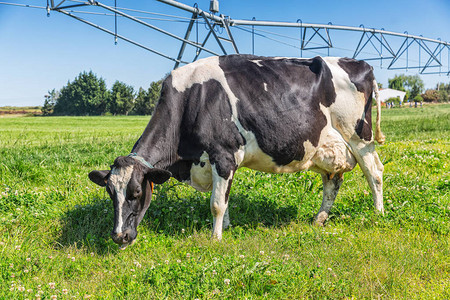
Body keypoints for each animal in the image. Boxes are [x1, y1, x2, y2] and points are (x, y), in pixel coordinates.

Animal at [89, 55, 384, 247]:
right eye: (110, 193)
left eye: (137, 193)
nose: (119, 236)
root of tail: (361, 64)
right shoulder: (218, 163)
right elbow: (225, 198)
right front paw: (227, 227)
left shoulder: (223, 155)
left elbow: (217, 203)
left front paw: (216, 238)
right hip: (326, 148)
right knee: (332, 181)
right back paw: (319, 219)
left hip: (359, 137)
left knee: (375, 173)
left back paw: (378, 215)